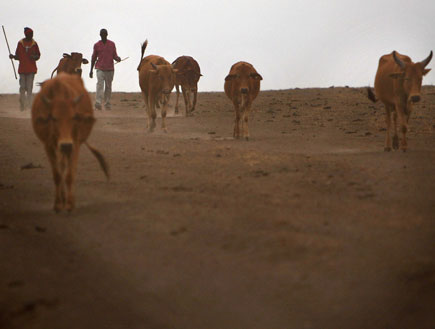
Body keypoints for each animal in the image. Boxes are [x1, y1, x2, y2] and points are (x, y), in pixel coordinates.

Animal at [30, 72, 109, 211]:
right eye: (53, 118)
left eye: (73, 117)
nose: (65, 144)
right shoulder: (48, 145)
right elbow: (57, 175)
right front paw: (58, 204)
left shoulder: (75, 144)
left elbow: (70, 174)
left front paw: (70, 203)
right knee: (61, 166)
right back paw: (62, 197)